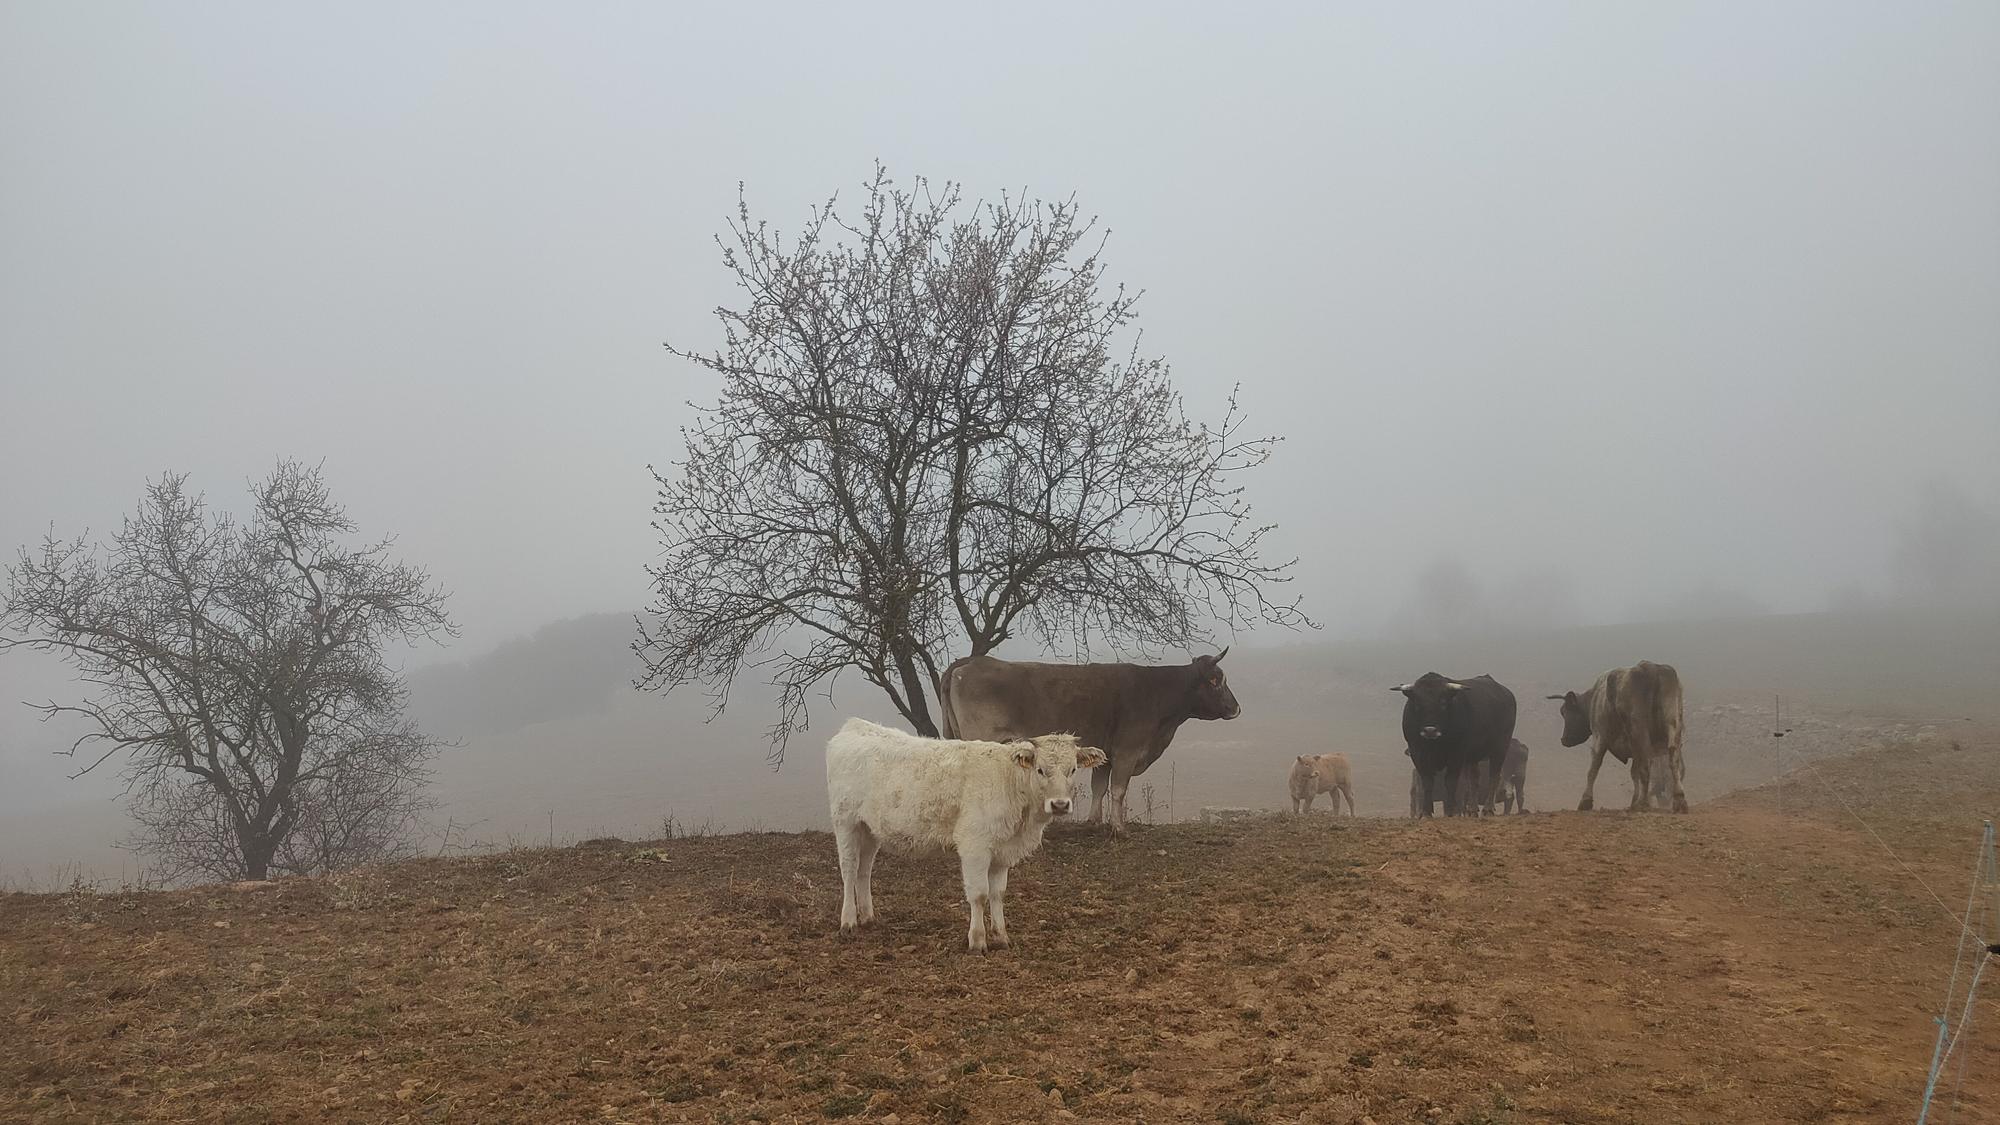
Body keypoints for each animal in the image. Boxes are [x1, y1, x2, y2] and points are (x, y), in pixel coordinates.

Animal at [828, 716, 1112, 944]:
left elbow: (998, 893)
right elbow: (979, 894)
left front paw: (1001, 936)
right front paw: (977, 940)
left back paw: (867, 917)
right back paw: (848, 922)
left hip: (869, 829)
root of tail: (856, 725)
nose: (1060, 804)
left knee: (864, 871)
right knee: (849, 869)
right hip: (846, 822)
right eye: (1041, 770)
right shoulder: (975, 845)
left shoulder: (1002, 850)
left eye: (1072, 769)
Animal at [1392, 664, 1512, 812]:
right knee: (1474, 778)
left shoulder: (1457, 753)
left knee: (1494, 775)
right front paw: (1426, 811)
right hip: (1473, 756)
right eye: (1417, 703)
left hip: (1501, 747)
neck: (1436, 743)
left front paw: (1451, 810)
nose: (1430, 730)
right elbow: (1427, 781)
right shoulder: (1417, 752)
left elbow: (1451, 781)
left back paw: (1488, 808)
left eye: (1443, 703)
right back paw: (1472, 810)